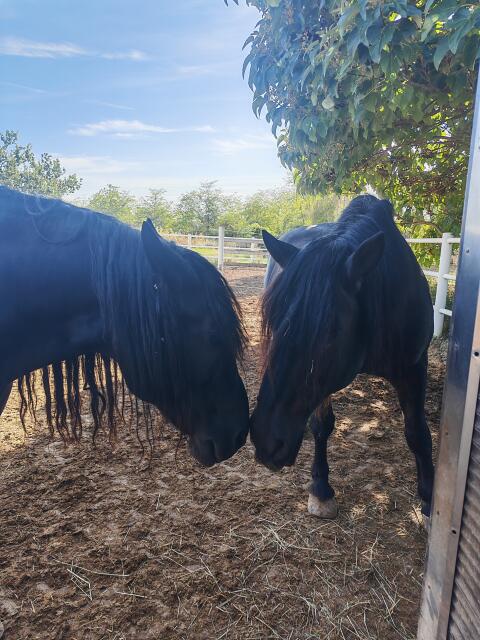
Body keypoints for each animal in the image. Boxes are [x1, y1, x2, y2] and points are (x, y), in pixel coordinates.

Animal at [250, 195, 434, 520]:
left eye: (329, 332)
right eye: (271, 321)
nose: (266, 441)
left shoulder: (414, 366)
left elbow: (417, 432)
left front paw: (428, 500)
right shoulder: (322, 384)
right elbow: (321, 426)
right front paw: (321, 489)